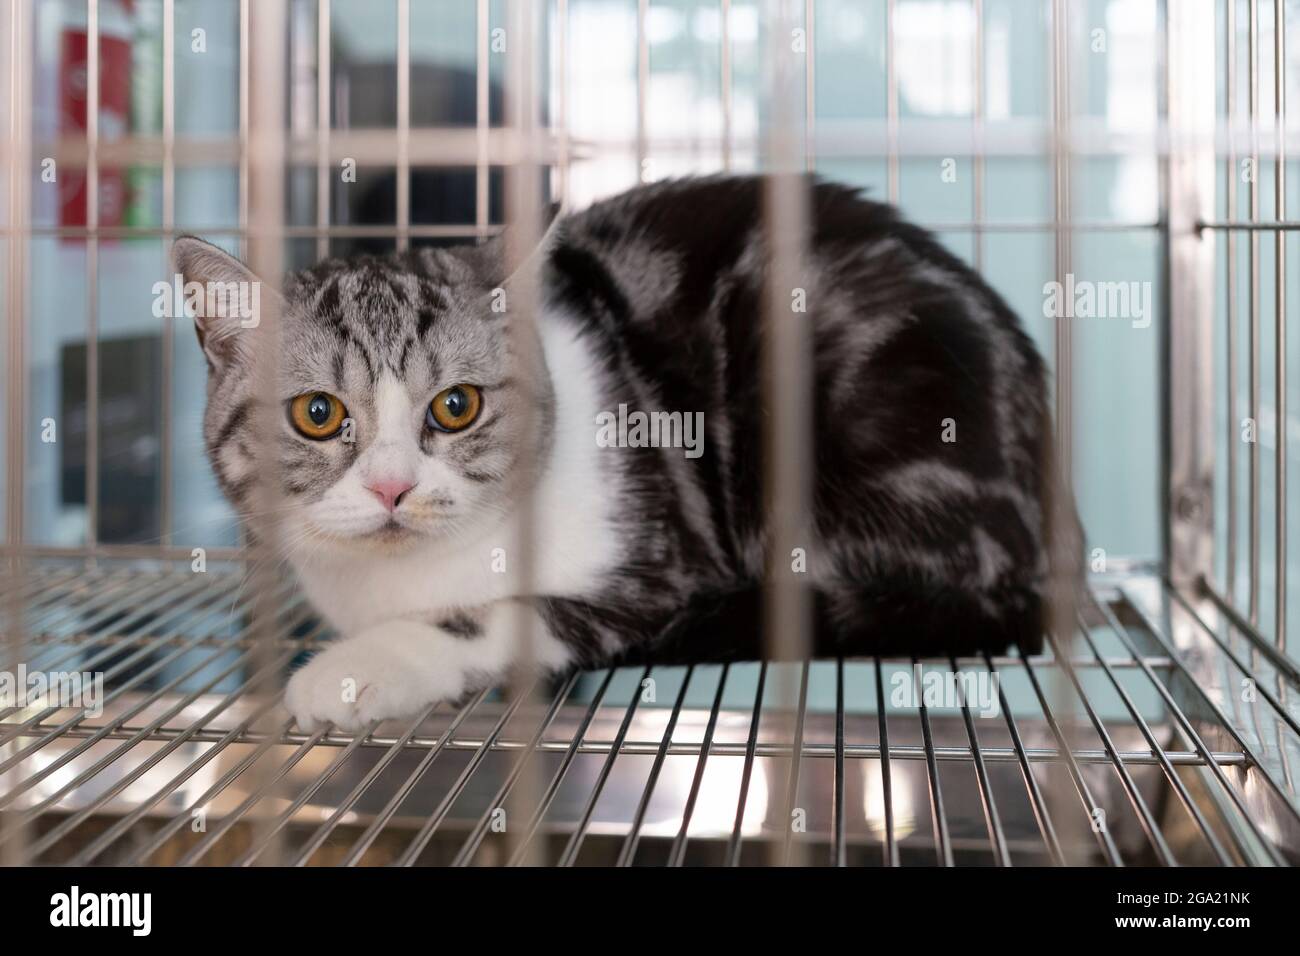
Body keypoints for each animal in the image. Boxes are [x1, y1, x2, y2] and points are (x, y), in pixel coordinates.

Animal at [172, 175, 1076, 728]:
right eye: (318, 414)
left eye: (456, 407)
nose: (393, 487)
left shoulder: (661, 566)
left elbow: (497, 616)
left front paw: (359, 666)